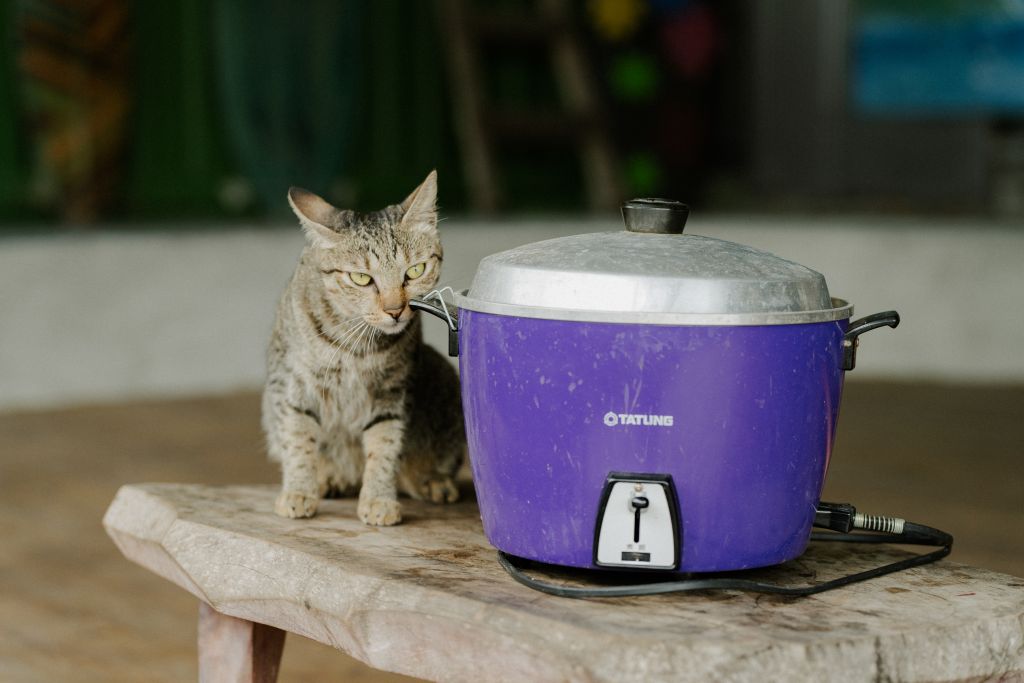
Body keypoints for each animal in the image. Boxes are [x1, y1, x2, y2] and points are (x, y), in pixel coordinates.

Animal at [262, 170, 465, 525]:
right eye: (361, 278)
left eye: (415, 271)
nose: (396, 310)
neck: (354, 346)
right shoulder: (291, 386)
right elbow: (298, 440)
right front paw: (299, 491)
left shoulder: (391, 392)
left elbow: (384, 445)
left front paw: (378, 498)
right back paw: (329, 478)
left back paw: (432, 481)